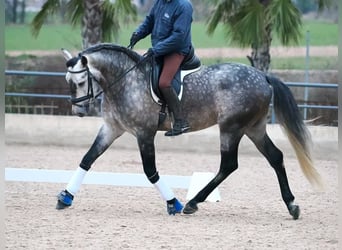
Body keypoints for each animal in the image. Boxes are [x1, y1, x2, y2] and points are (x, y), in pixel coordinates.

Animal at [57, 43, 322, 219]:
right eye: (68, 82)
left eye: (80, 82)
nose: (78, 111)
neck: (124, 81)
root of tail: (263, 76)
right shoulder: (111, 128)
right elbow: (87, 159)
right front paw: (65, 197)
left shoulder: (144, 133)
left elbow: (150, 171)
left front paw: (172, 203)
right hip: (253, 128)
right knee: (275, 157)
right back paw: (292, 205)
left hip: (231, 127)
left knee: (229, 164)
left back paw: (192, 203)